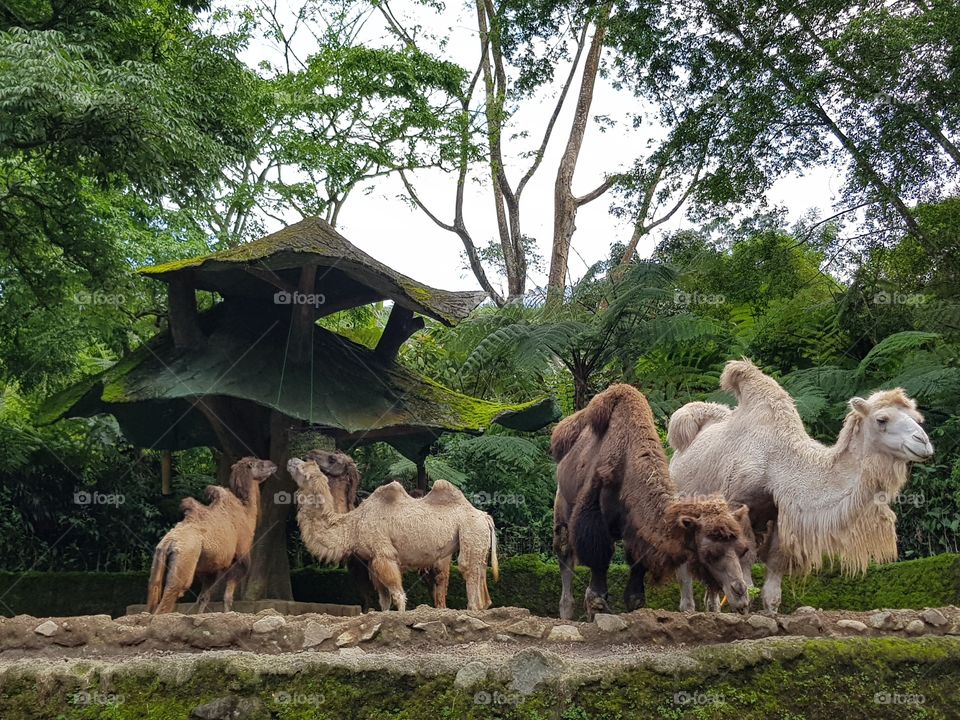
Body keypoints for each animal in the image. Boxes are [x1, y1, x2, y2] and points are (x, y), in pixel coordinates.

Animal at [146, 456, 276, 612]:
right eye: (260, 463)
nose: (273, 464)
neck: (246, 513)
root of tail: (169, 542)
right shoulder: (238, 559)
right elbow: (227, 598)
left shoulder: (208, 570)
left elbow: (204, 597)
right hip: (184, 560)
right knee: (170, 596)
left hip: (157, 565)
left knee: (153, 594)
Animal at [288, 458, 498, 612]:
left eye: (302, 468)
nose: (291, 460)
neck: (352, 526)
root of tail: (485, 516)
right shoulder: (372, 561)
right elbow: (384, 600)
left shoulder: (384, 555)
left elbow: (398, 595)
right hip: (478, 540)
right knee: (480, 573)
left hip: (470, 530)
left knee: (467, 569)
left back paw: (471, 609)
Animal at [552, 382, 752, 620]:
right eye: (710, 553)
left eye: (742, 549)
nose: (740, 595)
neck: (628, 467)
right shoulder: (594, 518)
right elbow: (597, 582)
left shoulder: (636, 530)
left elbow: (635, 591)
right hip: (562, 507)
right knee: (565, 554)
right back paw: (565, 611)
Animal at [668, 358, 928, 612]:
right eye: (881, 419)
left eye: (917, 419)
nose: (924, 442)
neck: (776, 464)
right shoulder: (737, 504)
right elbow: (745, 562)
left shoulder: (778, 513)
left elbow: (774, 572)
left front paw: (770, 614)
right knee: (685, 567)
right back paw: (688, 608)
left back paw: (712, 609)